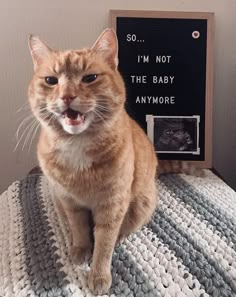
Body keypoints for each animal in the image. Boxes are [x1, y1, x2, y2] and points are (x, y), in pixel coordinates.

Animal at [28, 28, 159, 292]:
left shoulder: (112, 205)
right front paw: (80, 249)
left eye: (90, 78)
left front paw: (98, 275)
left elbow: (104, 242)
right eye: (51, 81)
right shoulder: (69, 201)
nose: (67, 96)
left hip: (141, 204)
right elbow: (79, 228)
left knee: (123, 229)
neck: (76, 145)